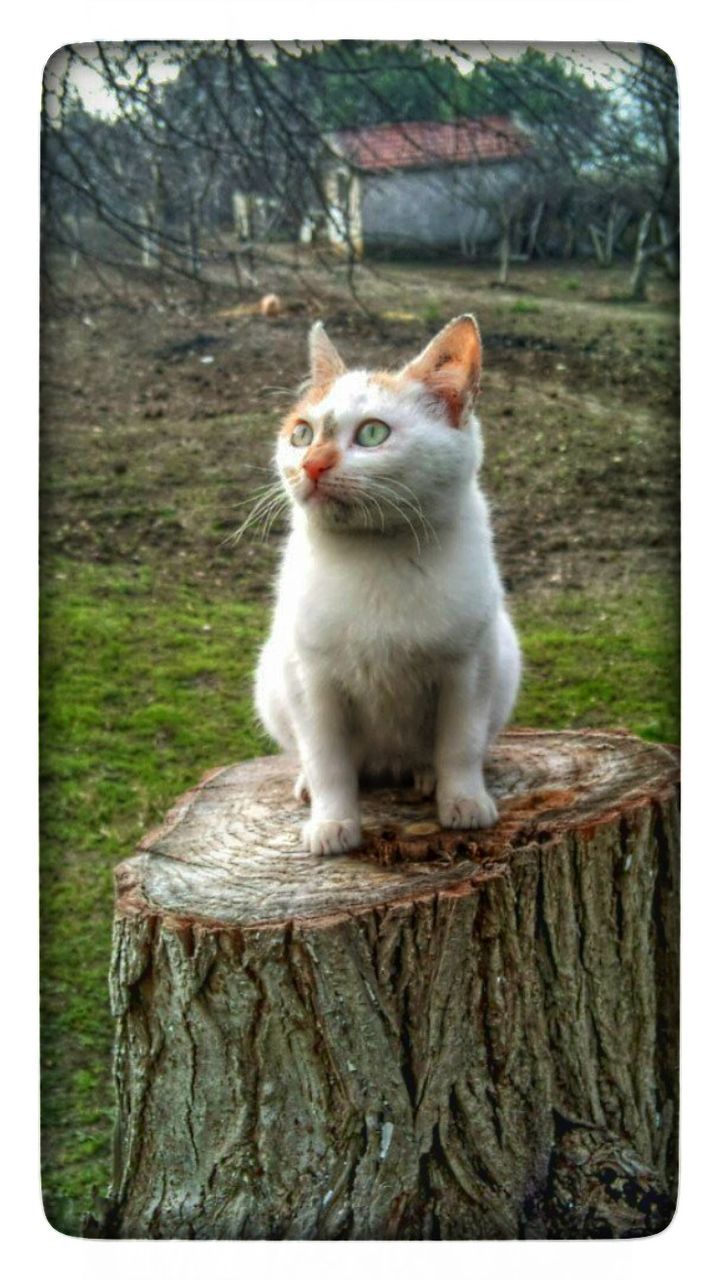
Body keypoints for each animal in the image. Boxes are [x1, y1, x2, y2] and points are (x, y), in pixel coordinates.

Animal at [254, 311, 517, 855]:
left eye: (373, 434)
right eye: (302, 434)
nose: (312, 463)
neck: (375, 553)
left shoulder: (469, 671)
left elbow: (459, 747)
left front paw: (464, 802)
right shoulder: (312, 681)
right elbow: (329, 762)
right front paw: (333, 823)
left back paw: (425, 775)